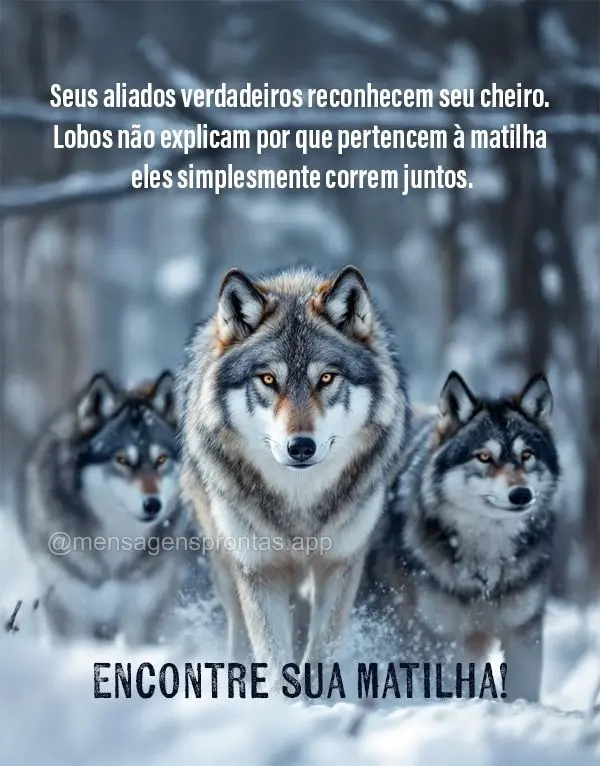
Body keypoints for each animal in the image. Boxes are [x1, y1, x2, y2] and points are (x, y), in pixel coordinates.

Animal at [177, 265, 410, 673]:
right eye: (269, 379)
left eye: (327, 378)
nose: (301, 446)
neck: (300, 504)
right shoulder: (260, 571)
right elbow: (273, 657)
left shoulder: (339, 565)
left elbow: (319, 651)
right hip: (225, 561)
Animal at [361, 371, 560, 702]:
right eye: (484, 457)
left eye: (527, 455)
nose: (521, 494)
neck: (484, 570)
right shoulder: (439, 637)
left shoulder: (522, 633)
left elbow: (523, 691)